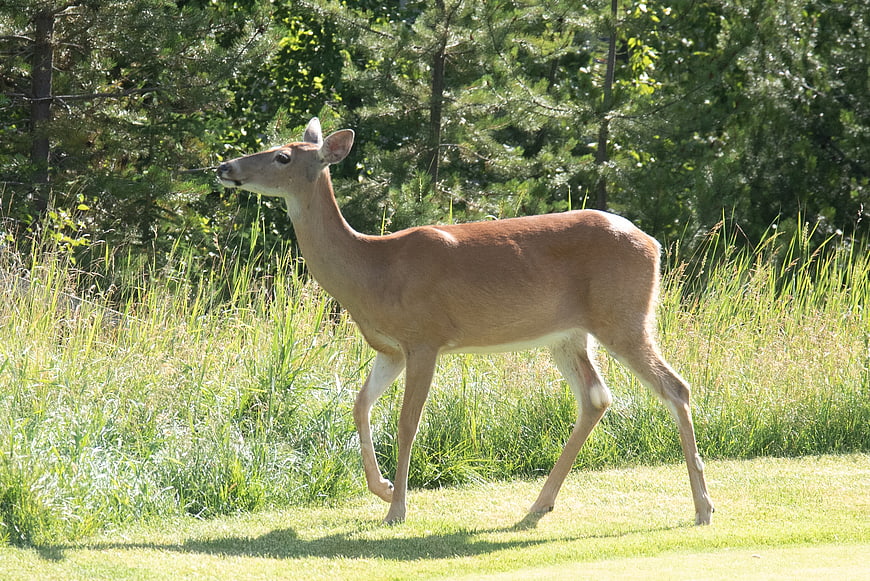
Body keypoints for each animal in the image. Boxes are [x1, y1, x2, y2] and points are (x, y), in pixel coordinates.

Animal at [217, 118, 714, 526]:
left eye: (282, 156)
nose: (224, 166)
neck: (372, 269)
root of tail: (653, 243)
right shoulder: (391, 348)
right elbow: (360, 405)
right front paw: (383, 489)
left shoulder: (425, 337)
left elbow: (407, 422)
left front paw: (397, 509)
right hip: (568, 334)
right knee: (596, 398)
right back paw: (539, 505)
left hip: (623, 316)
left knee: (676, 387)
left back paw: (703, 507)